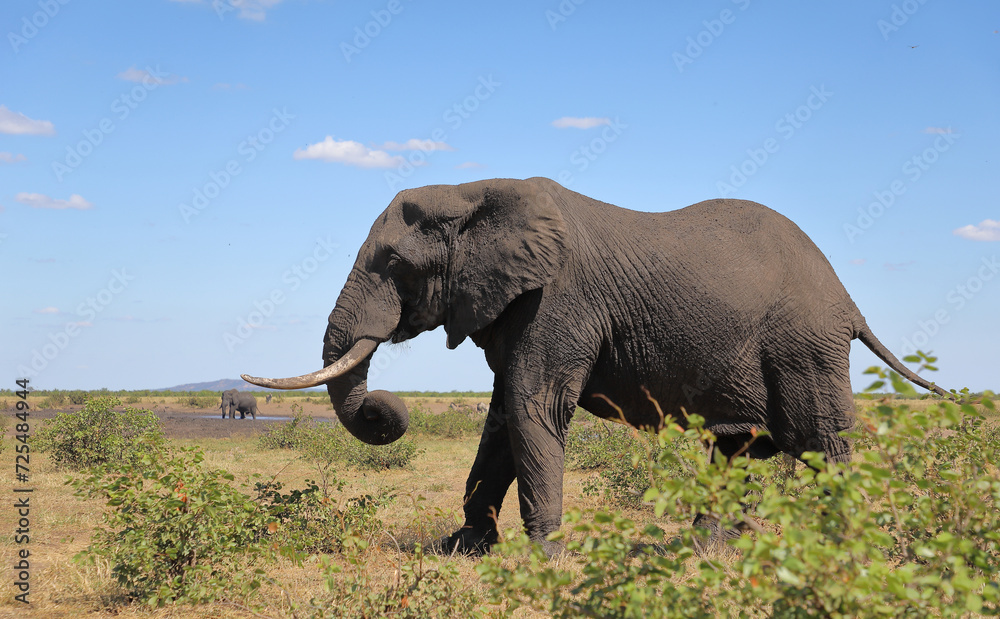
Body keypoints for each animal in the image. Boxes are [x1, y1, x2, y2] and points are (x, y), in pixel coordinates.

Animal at [242, 177, 947, 554]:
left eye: (394, 263)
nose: (384, 407)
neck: (475, 191)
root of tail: (848, 300)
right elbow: (502, 420)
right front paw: (461, 549)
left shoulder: (557, 301)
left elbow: (535, 407)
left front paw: (547, 557)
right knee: (744, 447)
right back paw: (710, 549)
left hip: (802, 347)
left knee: (817, 442)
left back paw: (841, 550)